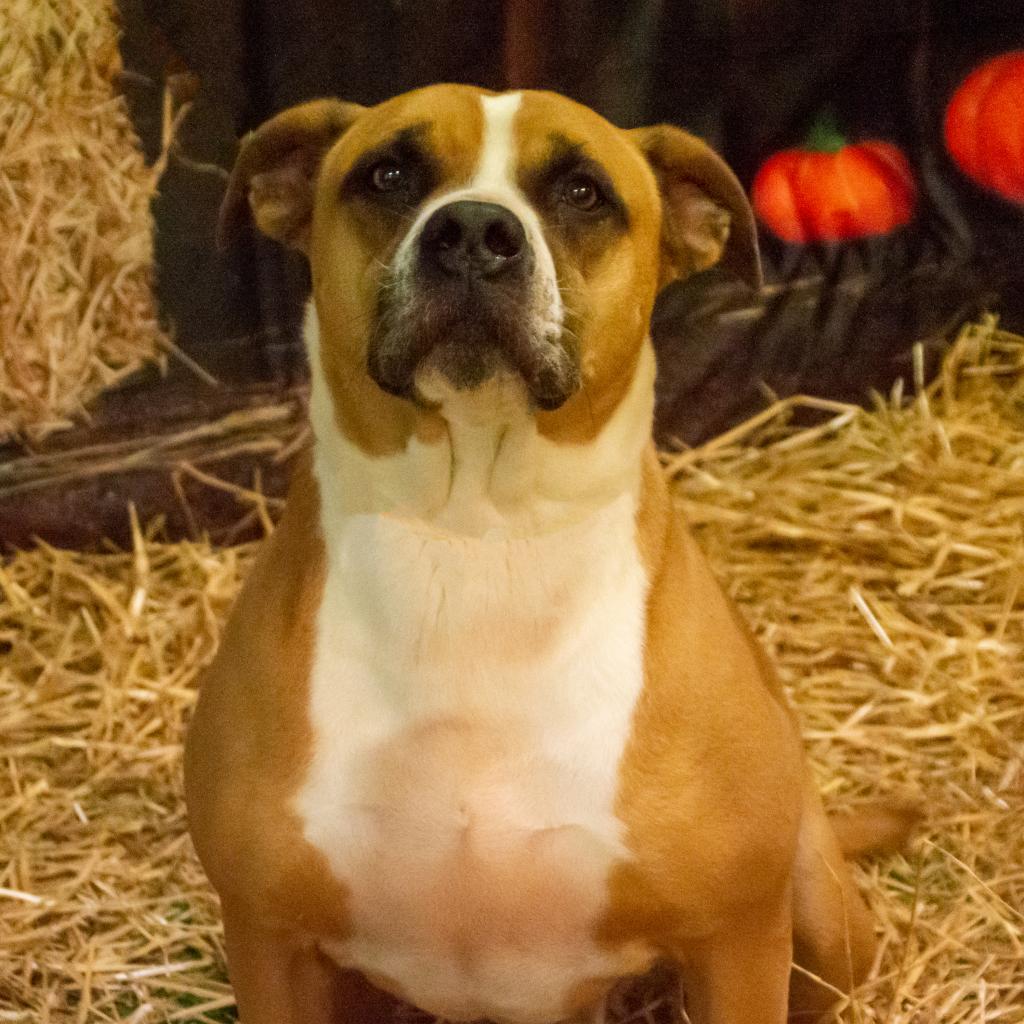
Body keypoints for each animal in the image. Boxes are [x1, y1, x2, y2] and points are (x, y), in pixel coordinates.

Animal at [186, 83, 913, 1019]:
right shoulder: (271, 944)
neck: (477, 538)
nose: (472, 232)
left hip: (818, 919)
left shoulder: (738, 940)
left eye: (581, 191)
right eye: (388, 173)